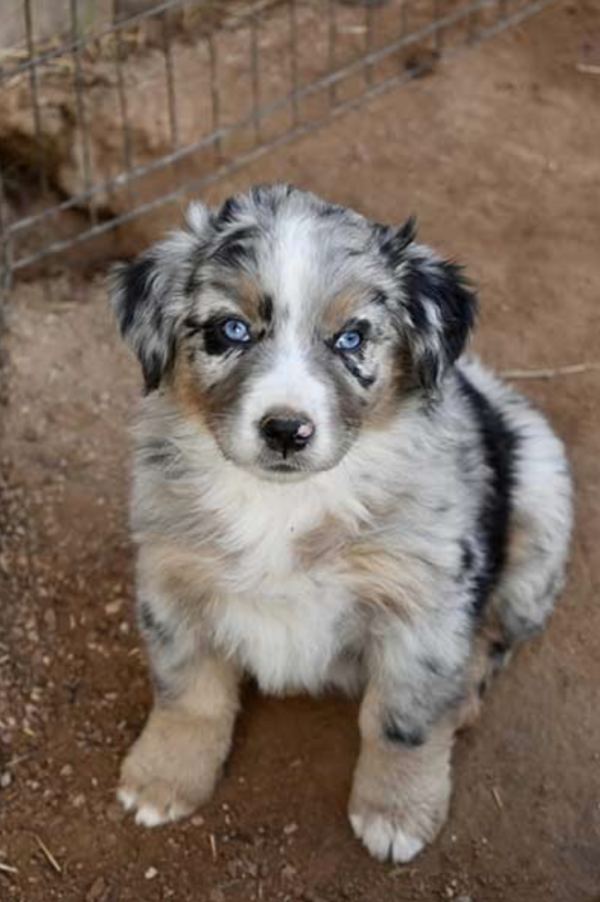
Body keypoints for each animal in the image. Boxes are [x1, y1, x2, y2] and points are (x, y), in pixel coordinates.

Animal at [108, 185, 572, 868]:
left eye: (351, 338)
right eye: (230, 330)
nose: (285, 429)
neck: (283, 503)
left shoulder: (421, 605)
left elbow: (401, 721)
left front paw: (396, 813)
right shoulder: (172, 578)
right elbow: (187, 693)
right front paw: (162, 780)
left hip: (540, 504)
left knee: (495, 635)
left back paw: (461, 696)